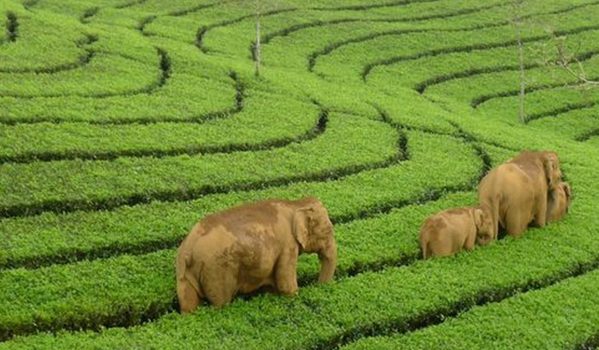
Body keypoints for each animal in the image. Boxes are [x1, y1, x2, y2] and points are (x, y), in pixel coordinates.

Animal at [177, 196, 338, 314]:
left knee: (188, 303)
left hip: (184, 273)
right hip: (217, 269)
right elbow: (285, 284)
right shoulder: (288, 245)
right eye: (329, 229)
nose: (319, 287)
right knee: (221, 302)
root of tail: (188, 249)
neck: (296, 203)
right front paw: (293, 296)